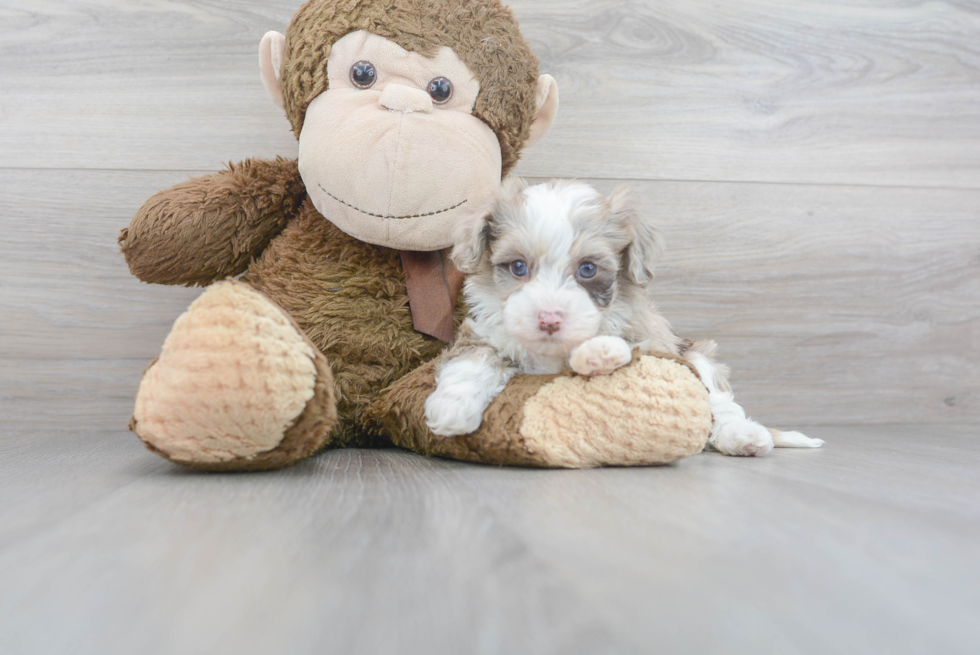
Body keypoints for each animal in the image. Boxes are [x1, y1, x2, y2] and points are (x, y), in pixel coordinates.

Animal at [424, 179, 824, 456]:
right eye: (518, 267)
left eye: (588, 269)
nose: (549, 319)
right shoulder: (482, 331)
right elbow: (473, 360)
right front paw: (451, 408)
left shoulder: (651, 340)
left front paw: (597, 352)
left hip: (697, 355)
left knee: (721, 404)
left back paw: (743, 436)